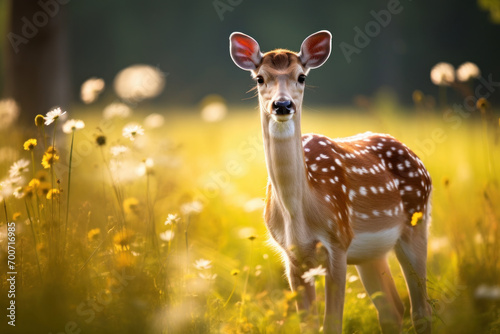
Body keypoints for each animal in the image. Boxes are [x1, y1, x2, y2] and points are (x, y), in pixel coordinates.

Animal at [230, 30, 434, 332]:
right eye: (259, 78)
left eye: (302, 76)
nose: (282, 104)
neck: (300, 215)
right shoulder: (293, 258)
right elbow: (309, 325)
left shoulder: (338, 243)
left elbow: (332, 324)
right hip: (371, 254)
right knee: (392, 310)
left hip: (416, 223)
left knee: (421, 309)